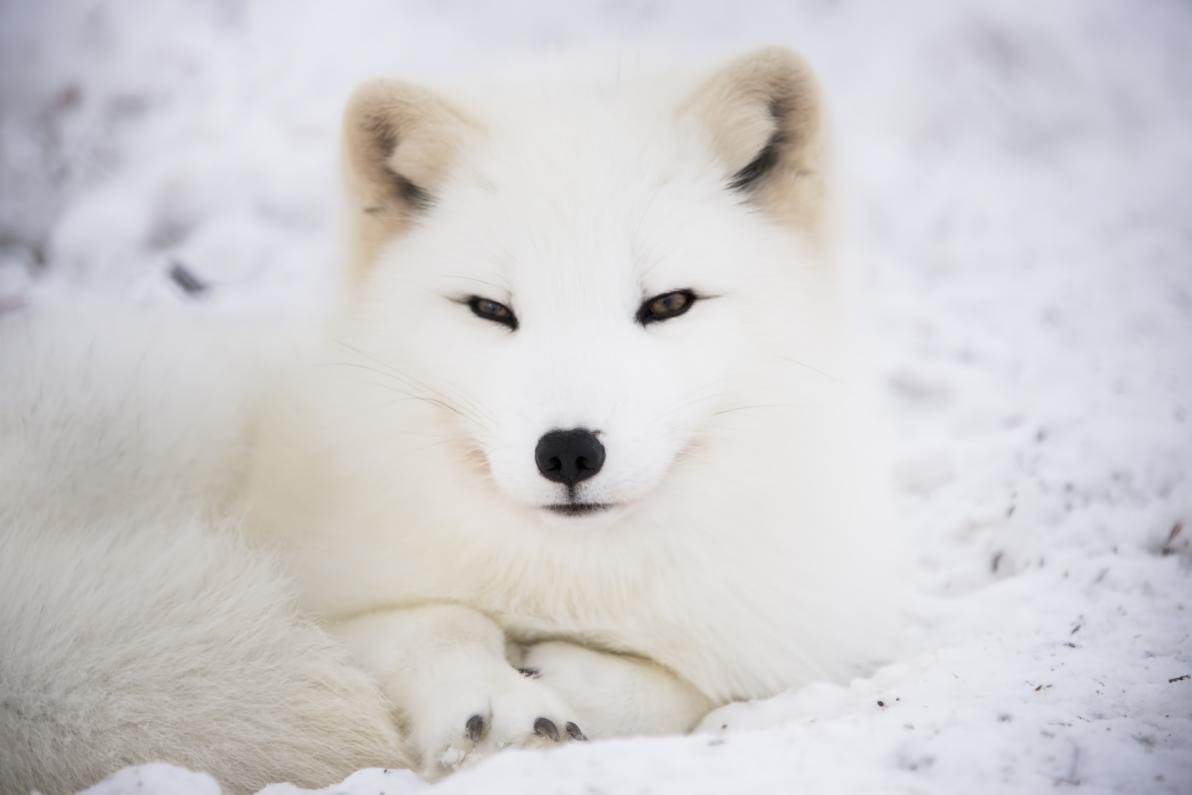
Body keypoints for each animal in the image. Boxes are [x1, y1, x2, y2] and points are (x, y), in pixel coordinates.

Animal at [0, 47, 907, 792]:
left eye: (668, 304)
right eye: (490, 309)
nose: (568, 452)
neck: (567, 578)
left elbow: (686, 682)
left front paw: (568, 683)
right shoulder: (329, 598)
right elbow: (432, 619)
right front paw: (494, 700)